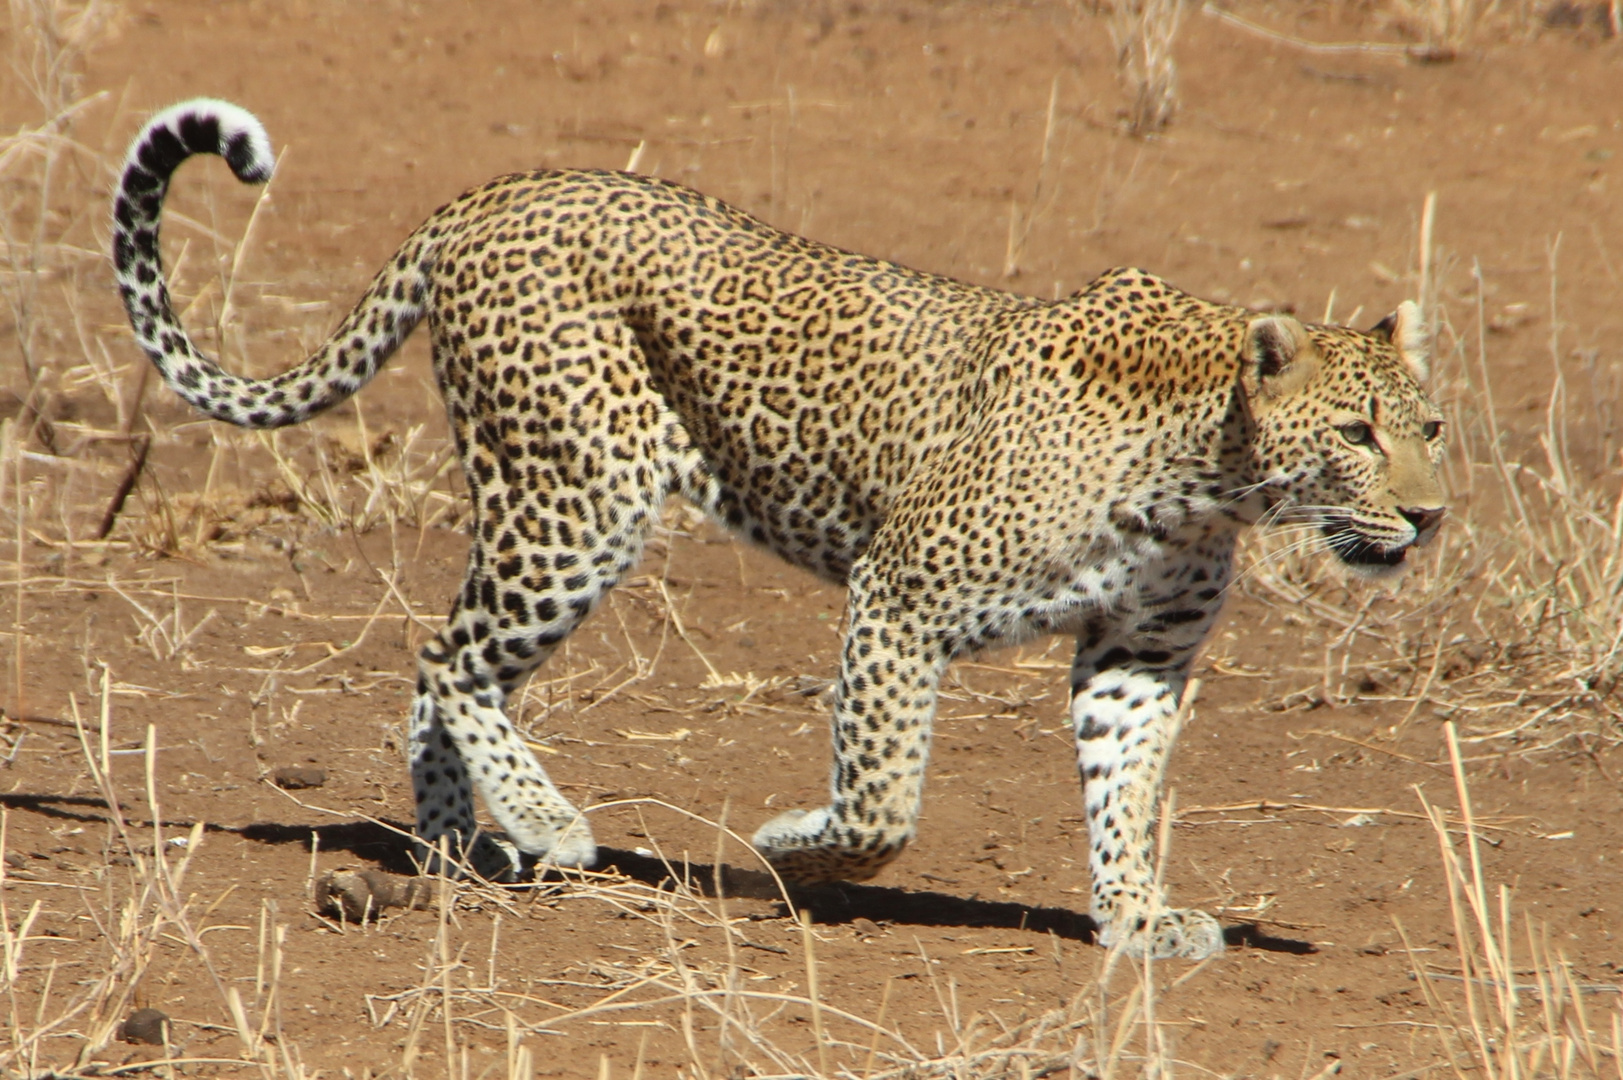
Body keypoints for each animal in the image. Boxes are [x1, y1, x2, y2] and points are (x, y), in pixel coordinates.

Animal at [114, 99, 1447, 961]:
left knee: (443, 663)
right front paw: (794, 852)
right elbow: (884, 796)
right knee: (450, 657)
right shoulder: (901, 594)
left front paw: (1133, 922)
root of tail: (482, 197)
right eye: (1360, 433)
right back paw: (545, 824)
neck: (1209, 478)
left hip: (553, 508)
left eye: (1431, 427)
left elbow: (1124, 795)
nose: (1430, 515)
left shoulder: (1139, 655)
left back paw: (458, 847)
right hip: (582, 496)